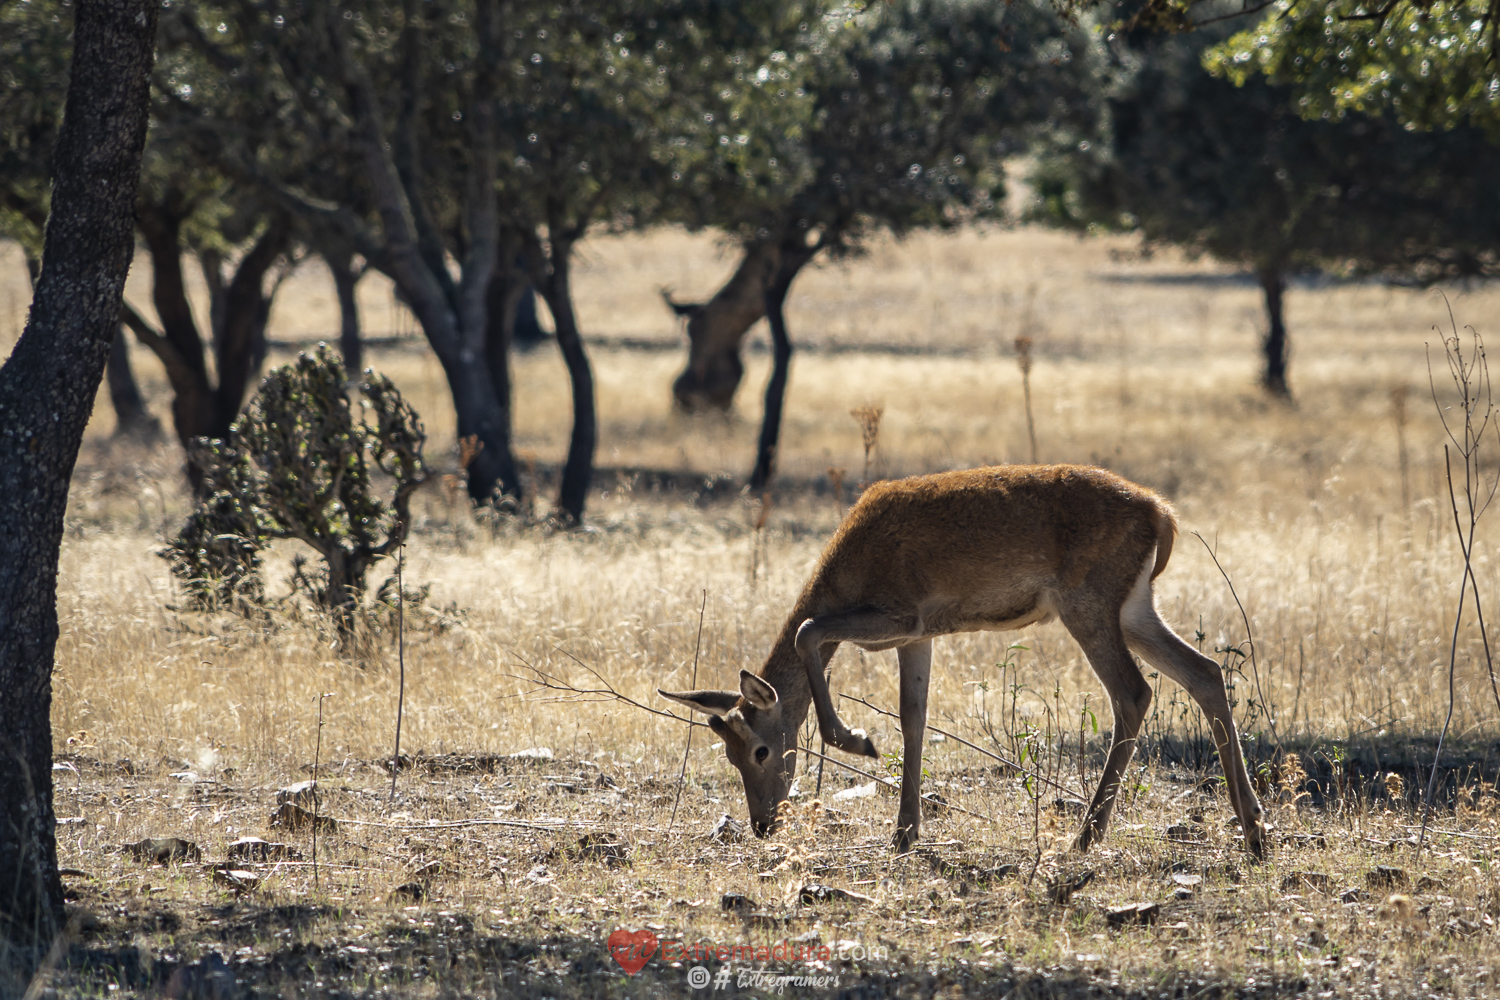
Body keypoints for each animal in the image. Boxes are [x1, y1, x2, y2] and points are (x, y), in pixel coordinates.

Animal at [666, 464, 1266, 857]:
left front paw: (855, 739)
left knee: (1134, 692)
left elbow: (808, 631)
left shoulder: (901, 614)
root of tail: (1165, 515)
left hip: (1089, 602)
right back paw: (1254, 825)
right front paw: (905, 833)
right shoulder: (919, 634)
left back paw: (1087, 835)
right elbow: (913, 717)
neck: (845, 572)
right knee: (1205, 671)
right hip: (1135, 607)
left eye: (760, 750)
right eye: (728, 756)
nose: (762, 824)